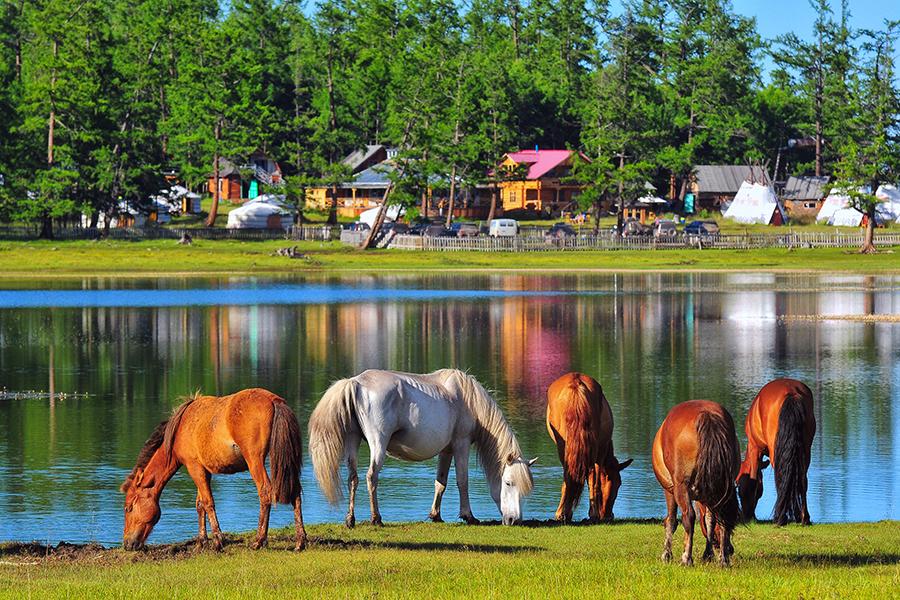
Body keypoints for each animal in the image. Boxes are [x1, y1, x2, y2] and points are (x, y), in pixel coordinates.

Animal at [121, 388, 307, 552]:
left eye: (128, 508)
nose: (127, 544)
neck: (179, 429)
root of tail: (273, 400)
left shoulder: (194, 467)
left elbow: (208, 503)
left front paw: (217, 541)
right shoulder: (203, 470)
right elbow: (200, 504)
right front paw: (201, 542)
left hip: (255, 461)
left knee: (265, 493)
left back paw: (259, 541)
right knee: (295, 492)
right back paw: (300, 542)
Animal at [308, 369, 536, 527]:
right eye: (508, 483)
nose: (514, 520)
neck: (467, 399)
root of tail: (355, 383)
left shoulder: (447, 450)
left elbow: (440, 483)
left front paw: (436, 515)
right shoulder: (461, 444)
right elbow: (462, 481)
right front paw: (468, 516)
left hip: (353, 441)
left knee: (353, 478)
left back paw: (350, 519)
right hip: (378, 443)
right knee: (371, 476)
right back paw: (376, 518)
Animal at [545, 373, 632, 523]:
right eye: (618, 483)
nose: (608, 515)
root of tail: (576, 384)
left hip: (566, 448)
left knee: (572, 476)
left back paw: (565, 513)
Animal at [652, 400, 740, 566]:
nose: (731, 549)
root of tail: (706, 414)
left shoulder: (670, 490)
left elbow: (671, 521)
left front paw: (667, 554)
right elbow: (710, 520)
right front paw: (708, 554)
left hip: (681, 487)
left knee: (689, 517)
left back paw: (687, 558)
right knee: (723, 517)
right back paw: (723, 560)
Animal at [737, 378, 816, 525]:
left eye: (739, 487)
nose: (746, 515)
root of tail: (792, 392)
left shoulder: (755, 449)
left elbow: (754, 479)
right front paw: (797, 516)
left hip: (776, 452)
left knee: (782, 476)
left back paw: (780, 517)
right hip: (805, 450)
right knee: (801, 479)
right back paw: (804, 518)